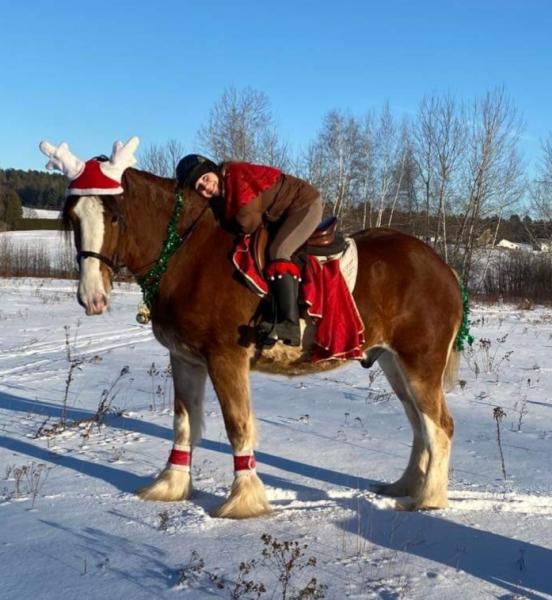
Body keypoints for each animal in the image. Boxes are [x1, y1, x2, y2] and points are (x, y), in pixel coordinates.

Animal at [46, 138, 462, 516]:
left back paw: (429, 499)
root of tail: (444, 269)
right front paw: (170, 485)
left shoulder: (225, 359)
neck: (185, 252)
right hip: (393, 364)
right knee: (419, 426)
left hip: (419, 364)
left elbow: (238, 426)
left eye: (114, 215)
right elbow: (183, 424)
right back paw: (407, 486)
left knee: (440, 427)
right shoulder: (185, 359)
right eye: (73, 217)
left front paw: (242, 500)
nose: (91, 297)